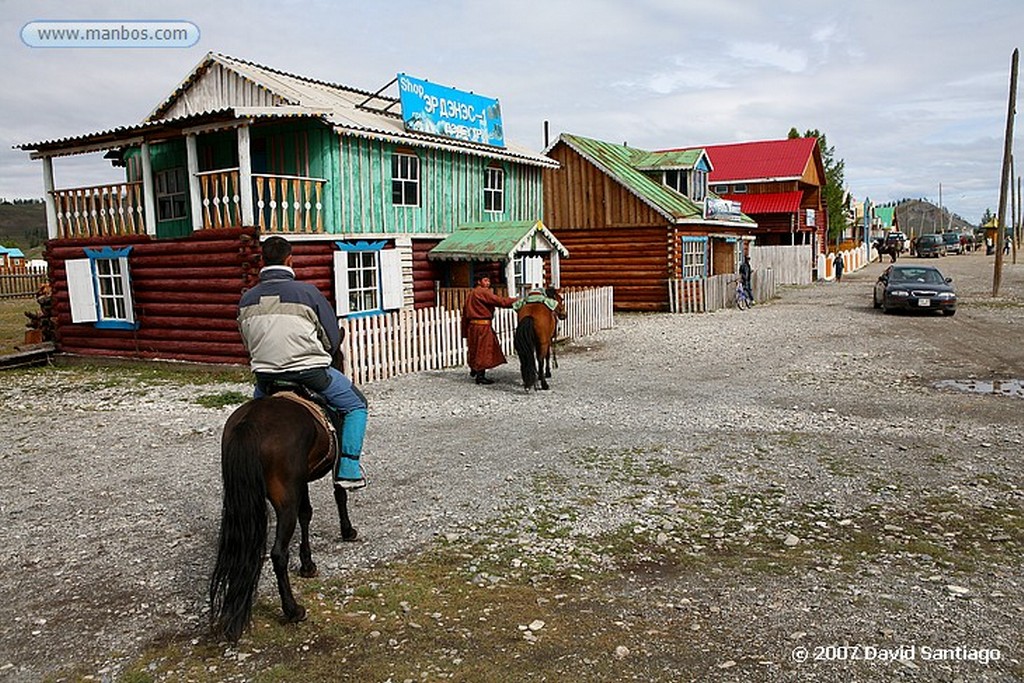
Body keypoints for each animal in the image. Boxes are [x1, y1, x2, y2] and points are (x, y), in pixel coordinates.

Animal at [205, 387, 358, 643]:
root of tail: (249, 424)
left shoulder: (301, 482)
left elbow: (306, 514)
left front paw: (307, 564)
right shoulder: (333, 463)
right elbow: (339, 493)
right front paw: (347, 531)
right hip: (285, 500)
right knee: (278, 553)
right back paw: (293, 610)